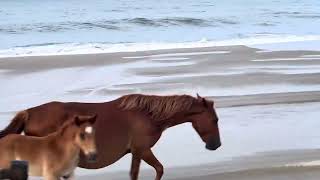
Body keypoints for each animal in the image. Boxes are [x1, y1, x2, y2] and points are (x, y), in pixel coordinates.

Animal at [0, 94, 221, 180]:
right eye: (215, 119)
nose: (216, 145)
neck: (149, 115)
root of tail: (29, 112)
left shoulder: (137, 152)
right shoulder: (141, 149)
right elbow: (155, 169)